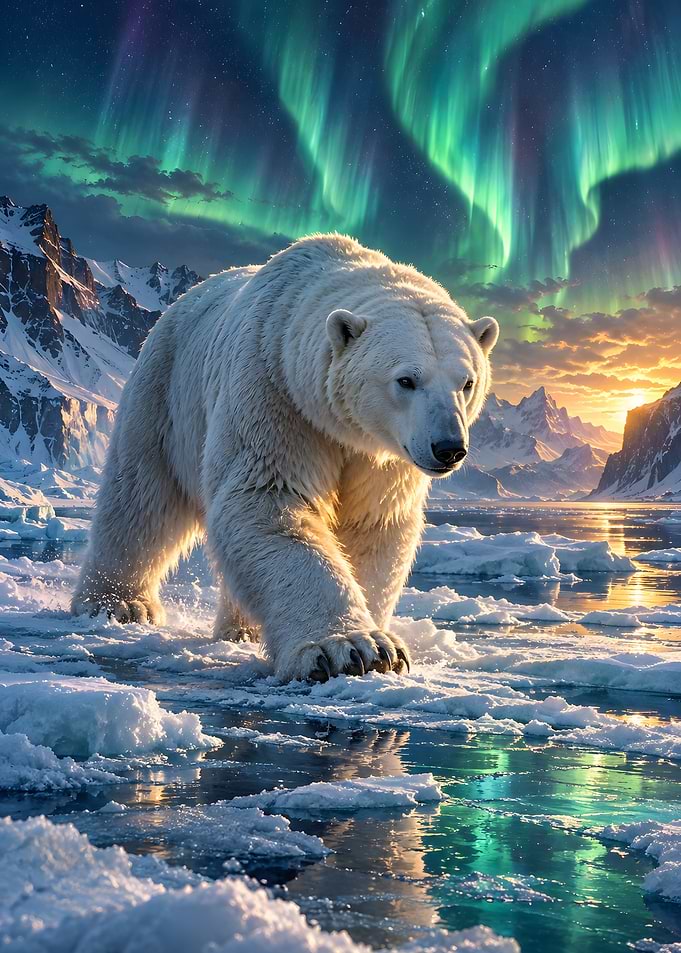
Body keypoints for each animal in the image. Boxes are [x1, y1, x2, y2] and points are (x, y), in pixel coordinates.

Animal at [72, 235, 498, 682]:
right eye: (406, 380)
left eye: (467, 382)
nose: (448, 447)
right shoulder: (275, 394)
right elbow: (268, 501)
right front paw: (352, 649)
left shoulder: (381, 456)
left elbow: (372, 525)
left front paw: (376, 642)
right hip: (165, 391)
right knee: (142, 496)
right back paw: (119, 604)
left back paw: (240, 630)